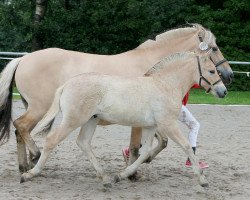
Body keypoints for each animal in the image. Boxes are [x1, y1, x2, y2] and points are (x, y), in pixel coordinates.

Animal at [0, 23, 232, 172]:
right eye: (214, 48)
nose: (228, 76)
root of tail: (23, 59)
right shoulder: (141, 120)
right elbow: (137, 147)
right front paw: (132, 171)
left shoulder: (152, 119)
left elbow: (160, 143)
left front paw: (137, 164)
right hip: (40, 108)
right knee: (21, 126)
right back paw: (35, 157)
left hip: (36, 108)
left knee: (20, 130)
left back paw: (25, 165)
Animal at [20, 50, 228, 188]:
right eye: (211, 71)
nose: (224, 91)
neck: (164, 84)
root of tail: (66, 84)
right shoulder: (168, 124)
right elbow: (186, 146)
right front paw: (202, 179)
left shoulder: (151, 126)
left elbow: (145, 152)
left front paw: (121, 175)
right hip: (74, 120)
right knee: (51, 140)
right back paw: (29, 173)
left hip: (90, 120)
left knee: (83, 142)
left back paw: (106, 178)